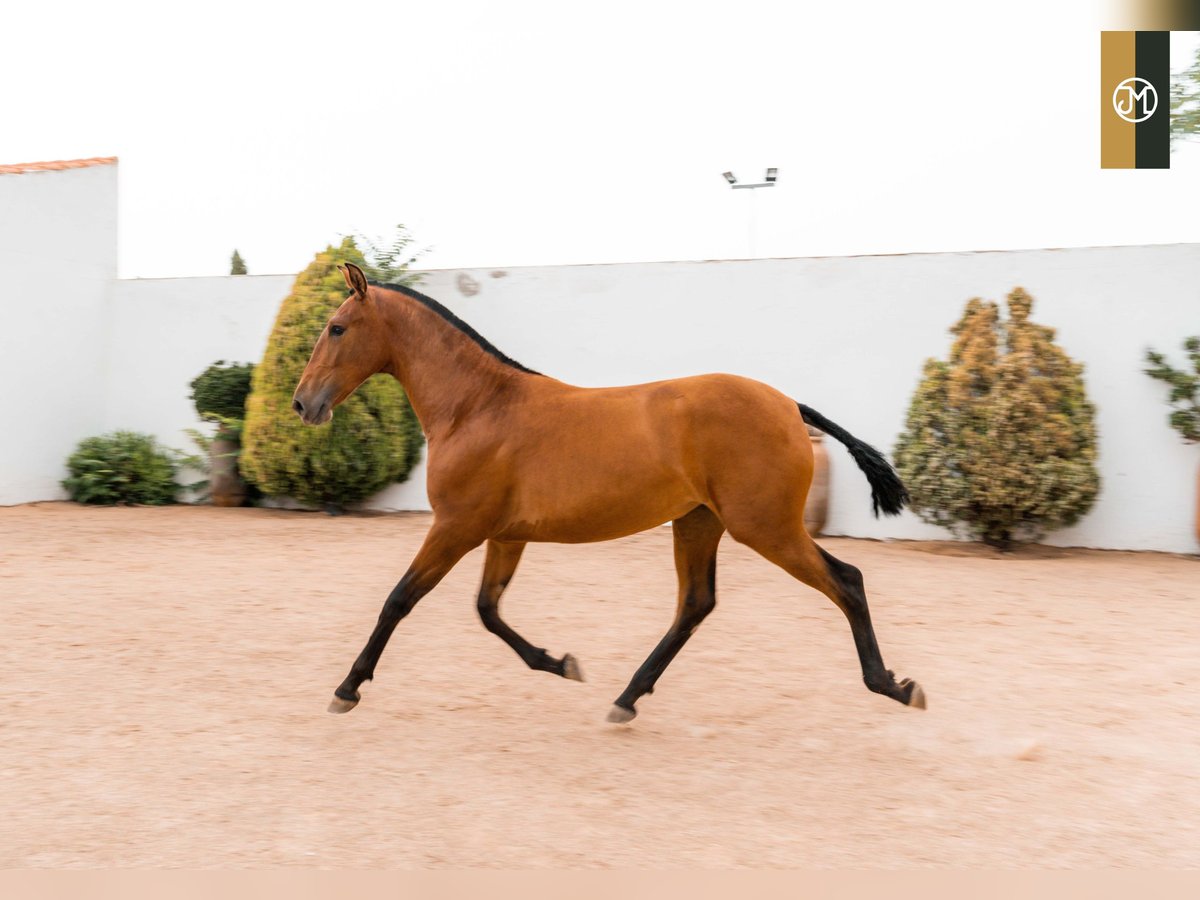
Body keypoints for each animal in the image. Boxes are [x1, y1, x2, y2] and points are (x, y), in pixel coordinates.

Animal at [292, 262, 926, 724]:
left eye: (336, 327)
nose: (303, 404)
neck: (478, 407)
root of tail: (790, 405)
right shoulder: (503, 535)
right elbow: (488, 610)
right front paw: (561, 663)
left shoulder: (456, 527)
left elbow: (400, 600)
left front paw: (347, 688)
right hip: (700, 522)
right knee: (695, 604)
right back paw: (626, 697)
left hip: (764, 526)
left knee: (846, 581)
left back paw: (893, 686)